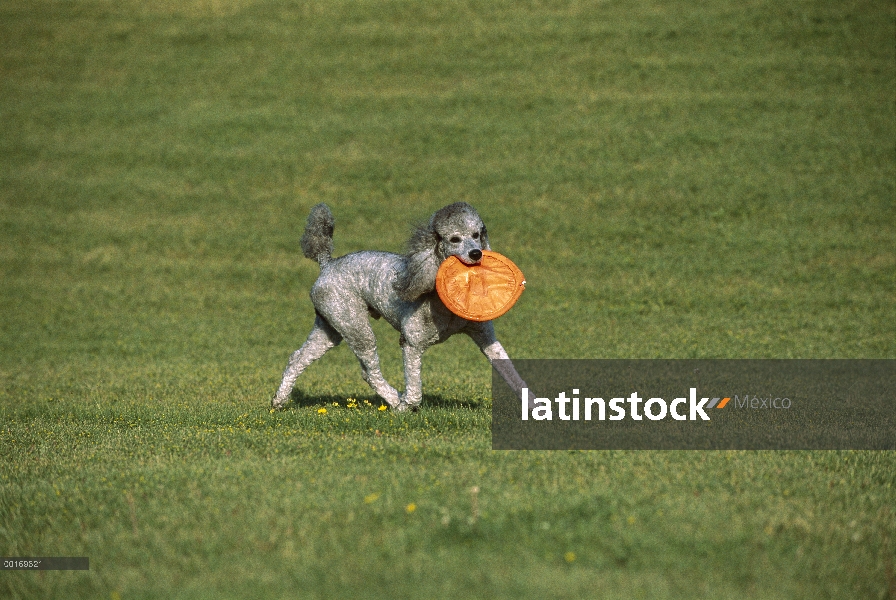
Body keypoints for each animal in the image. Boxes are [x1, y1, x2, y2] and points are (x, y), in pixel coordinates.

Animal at [272, 203, 524, 412]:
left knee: (297, 358)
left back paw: (279, 400)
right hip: (355, 325)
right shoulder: (411, 343)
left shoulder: (485, 337)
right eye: (454, 239)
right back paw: (395, 400)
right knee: (369, 372)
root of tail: (327, 264)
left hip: (330, 326)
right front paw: (407, 405)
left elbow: (512, 374)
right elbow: (414, 386)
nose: (476, 253)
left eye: (476, 235)